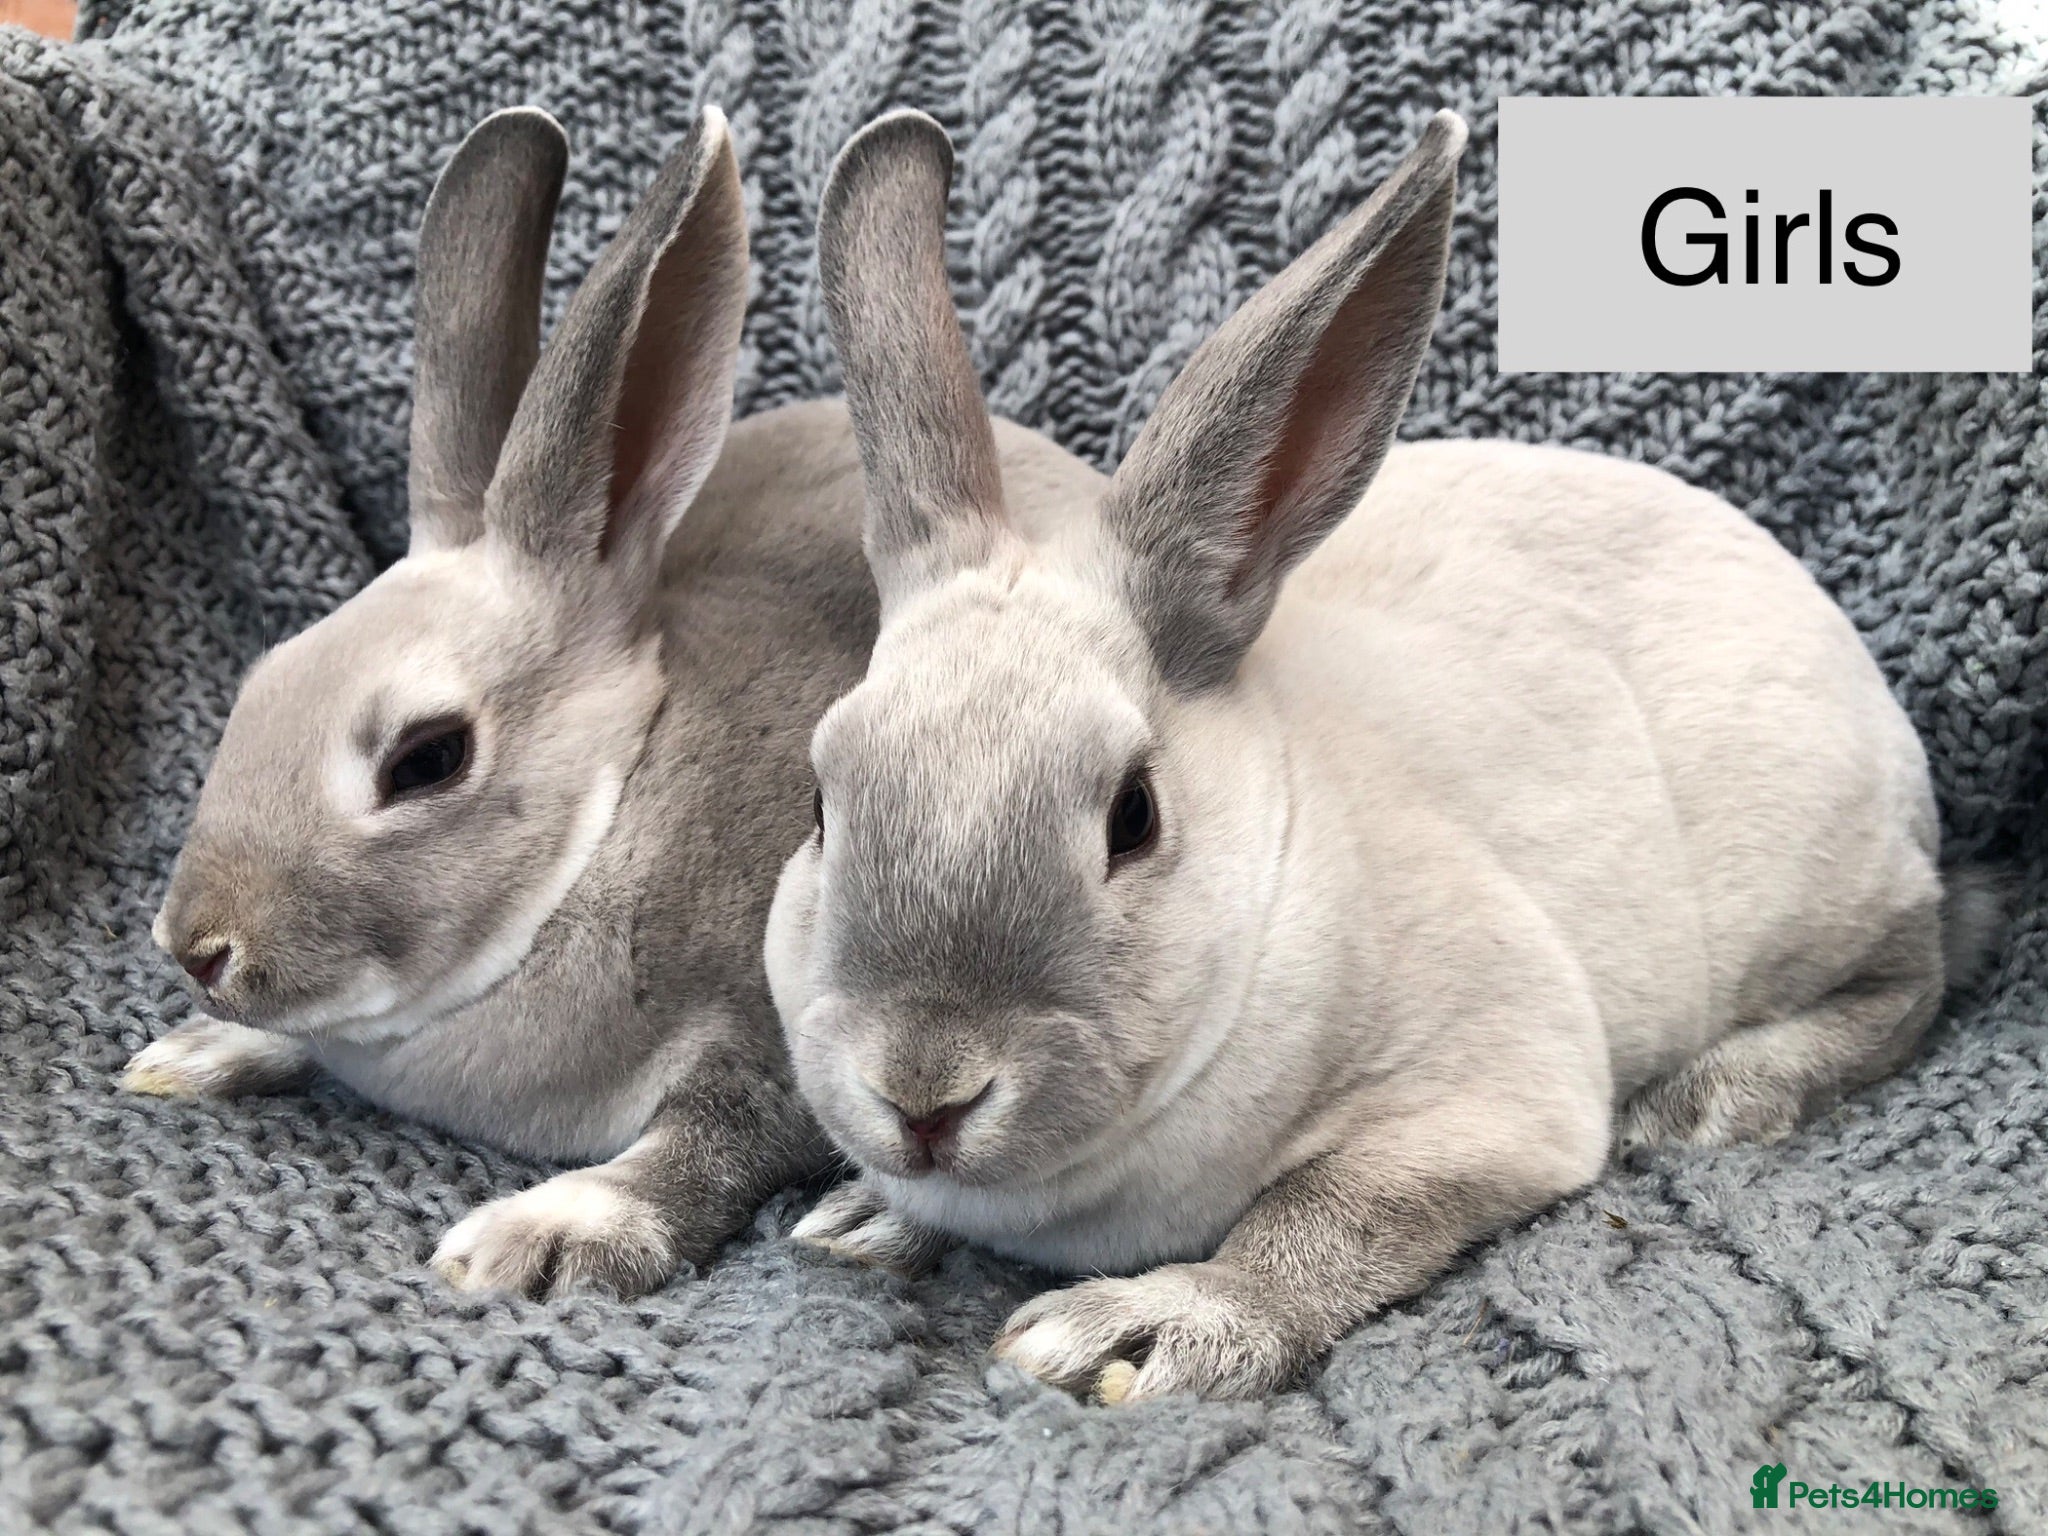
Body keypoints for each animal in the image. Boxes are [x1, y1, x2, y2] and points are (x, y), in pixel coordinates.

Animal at [121, 104, 886, 1300]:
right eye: (258, 685)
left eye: (427, 759)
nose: (196, 947)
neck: (602, 831)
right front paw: (195, 1055)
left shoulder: (785, 1040)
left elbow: (709, 1146)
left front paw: (540, 1236)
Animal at [763, 108, 2000, 1402]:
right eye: (818, 804)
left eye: (1132, 816)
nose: (922, 1093)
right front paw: (863, 1222)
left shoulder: (1487, 1092)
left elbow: (1331, 1212)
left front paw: (1142, 1331)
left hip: (1812, 883)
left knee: (1913, 973)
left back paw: (1702, 1102)